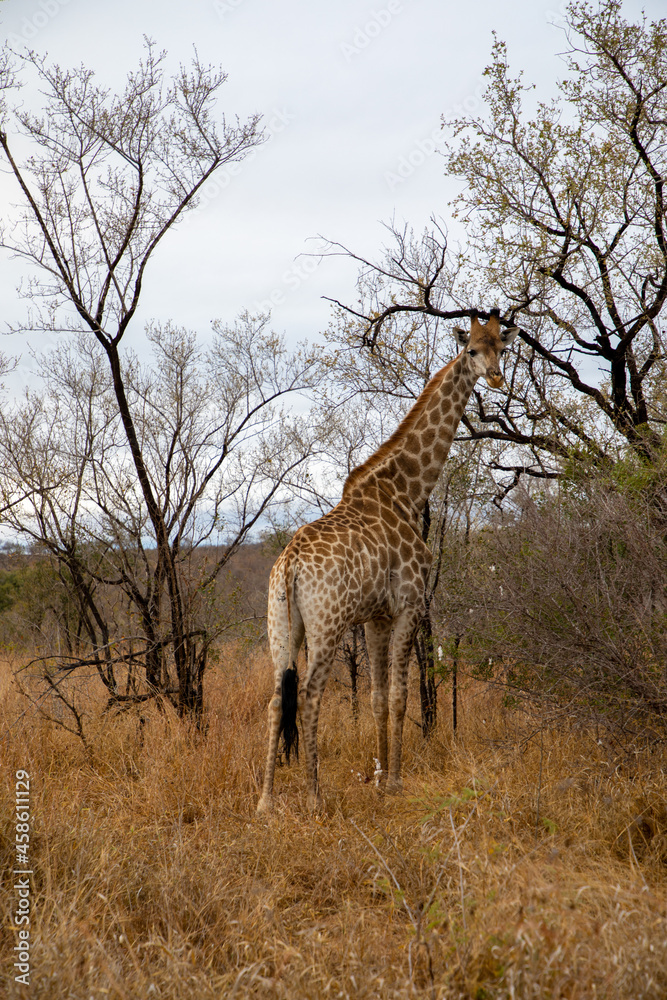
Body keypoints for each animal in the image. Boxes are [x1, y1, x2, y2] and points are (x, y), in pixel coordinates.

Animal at [257, 311, 518, 813]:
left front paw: (378, 779)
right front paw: (395, 781)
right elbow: (399, 696)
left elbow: (378, 698)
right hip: (327, 623)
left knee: (277, 698)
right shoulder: (409, 606)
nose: (496, 377)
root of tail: (291, 564)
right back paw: (314, 796)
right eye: (472, 349)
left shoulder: (376, 617)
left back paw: (265, 803)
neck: (407, 490)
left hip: (281, 623)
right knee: (309, 694)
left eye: (502, 346)